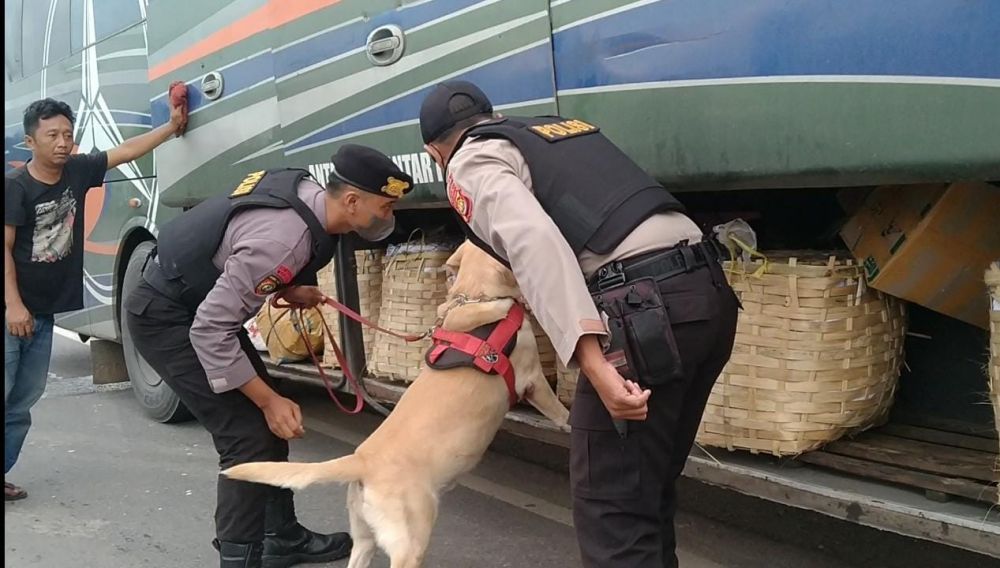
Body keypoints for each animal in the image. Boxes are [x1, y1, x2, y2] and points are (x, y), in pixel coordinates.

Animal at [226, 241, 572, 568]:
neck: (475, 297)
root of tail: (361, 461)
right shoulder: (532, 380)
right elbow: (559, 412)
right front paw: (569, 424)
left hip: (363, 539)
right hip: (411, 541)